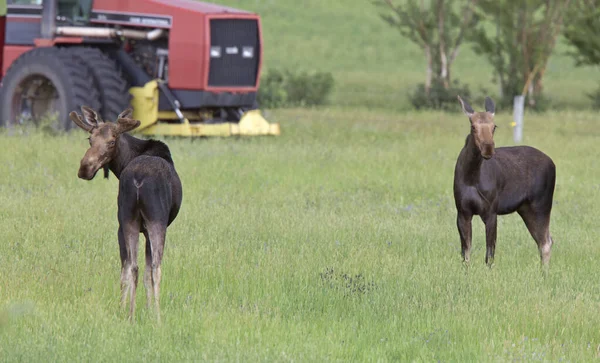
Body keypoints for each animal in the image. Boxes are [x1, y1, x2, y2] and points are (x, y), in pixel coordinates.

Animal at [70, 107, 183, 322]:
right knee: (154, 267)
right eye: (90, 139)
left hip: (126, 220)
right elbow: (148, 271)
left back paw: (128, 314)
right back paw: (156, 316)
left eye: (111, 142)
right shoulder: (148, 227)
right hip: (156, 219)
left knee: (131, 267)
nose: (85, 168)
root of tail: (138, 180)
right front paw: (149, 310)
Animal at [452, 96, 556, 268]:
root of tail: (552, 163)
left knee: (545, 242)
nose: (488, 148)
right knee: (545, 240)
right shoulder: (462, 212)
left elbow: (489, 255)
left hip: (541, 205)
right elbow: (465, 254)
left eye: (494, 126)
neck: (471, 176)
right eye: (473, 126)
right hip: (525, 209)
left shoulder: (491, 211)